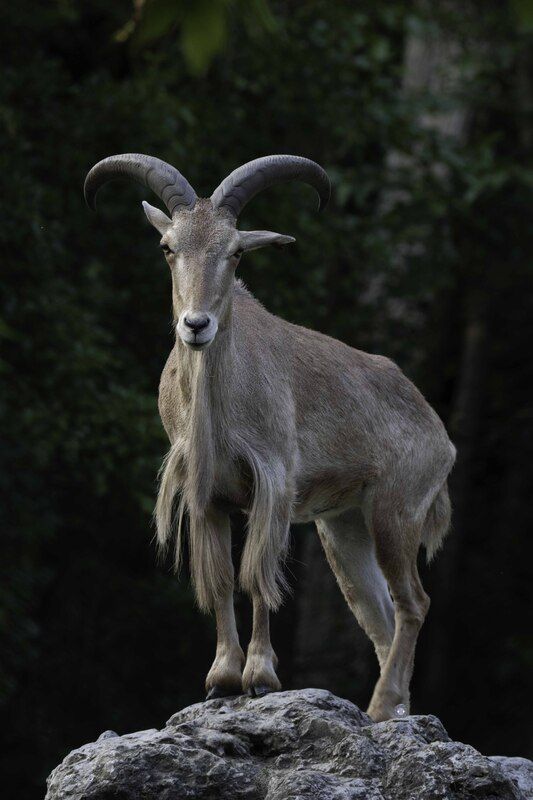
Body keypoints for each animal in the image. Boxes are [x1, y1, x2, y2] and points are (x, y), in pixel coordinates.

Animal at [84, 153, 456, 720]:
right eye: (168, 247)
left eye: (236, 251)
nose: (196, 324)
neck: (217, 409)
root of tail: (439, 434)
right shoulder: (207, 496)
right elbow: (219, 580)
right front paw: (220, 680)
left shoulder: (271, 485)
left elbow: (255, 577)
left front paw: (259, 678)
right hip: (345, 529)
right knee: (381, 616)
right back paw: (393, 713)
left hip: (397, 512)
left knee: (414, 602)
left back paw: (381, 706)